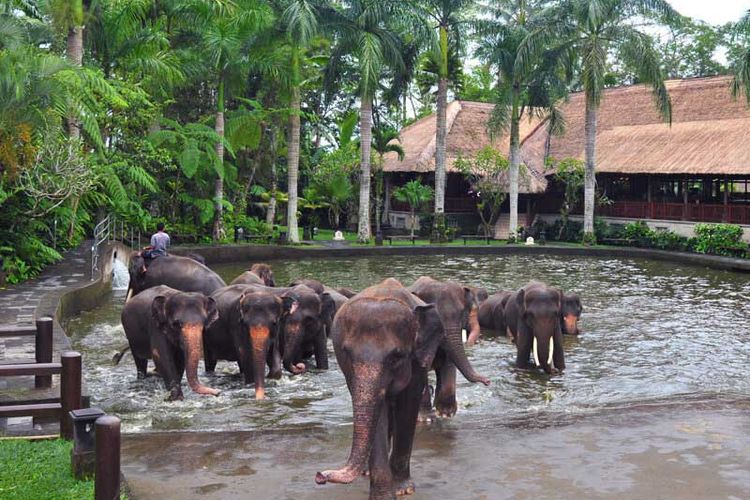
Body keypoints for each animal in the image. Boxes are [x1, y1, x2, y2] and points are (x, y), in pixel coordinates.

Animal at [315, 278, 446, 499]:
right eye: (347, 353)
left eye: (396, 357)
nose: (319, 475)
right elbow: (377, 415)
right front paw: (383, 496)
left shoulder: (417, 359)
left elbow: (407, 406)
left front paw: (403, 489)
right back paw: (366, 471)